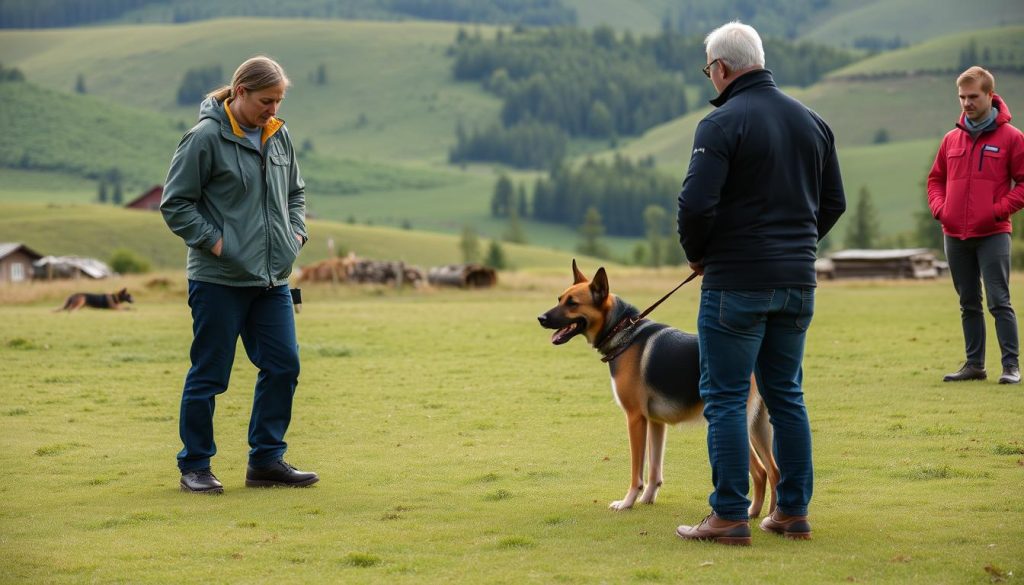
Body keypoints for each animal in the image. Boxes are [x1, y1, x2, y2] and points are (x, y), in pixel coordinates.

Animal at [536, 262, 774, 514]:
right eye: (560, 298)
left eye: (572, 303)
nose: (540, 318)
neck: (622, 331)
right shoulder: (656, 422)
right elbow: (654, 470)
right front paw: (647, 498)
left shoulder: (635, 418)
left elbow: (637, 471)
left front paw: (628, 502)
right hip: (758, 426)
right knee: (775, 471)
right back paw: (771, 517)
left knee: (761, 472)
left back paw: (752, 513)